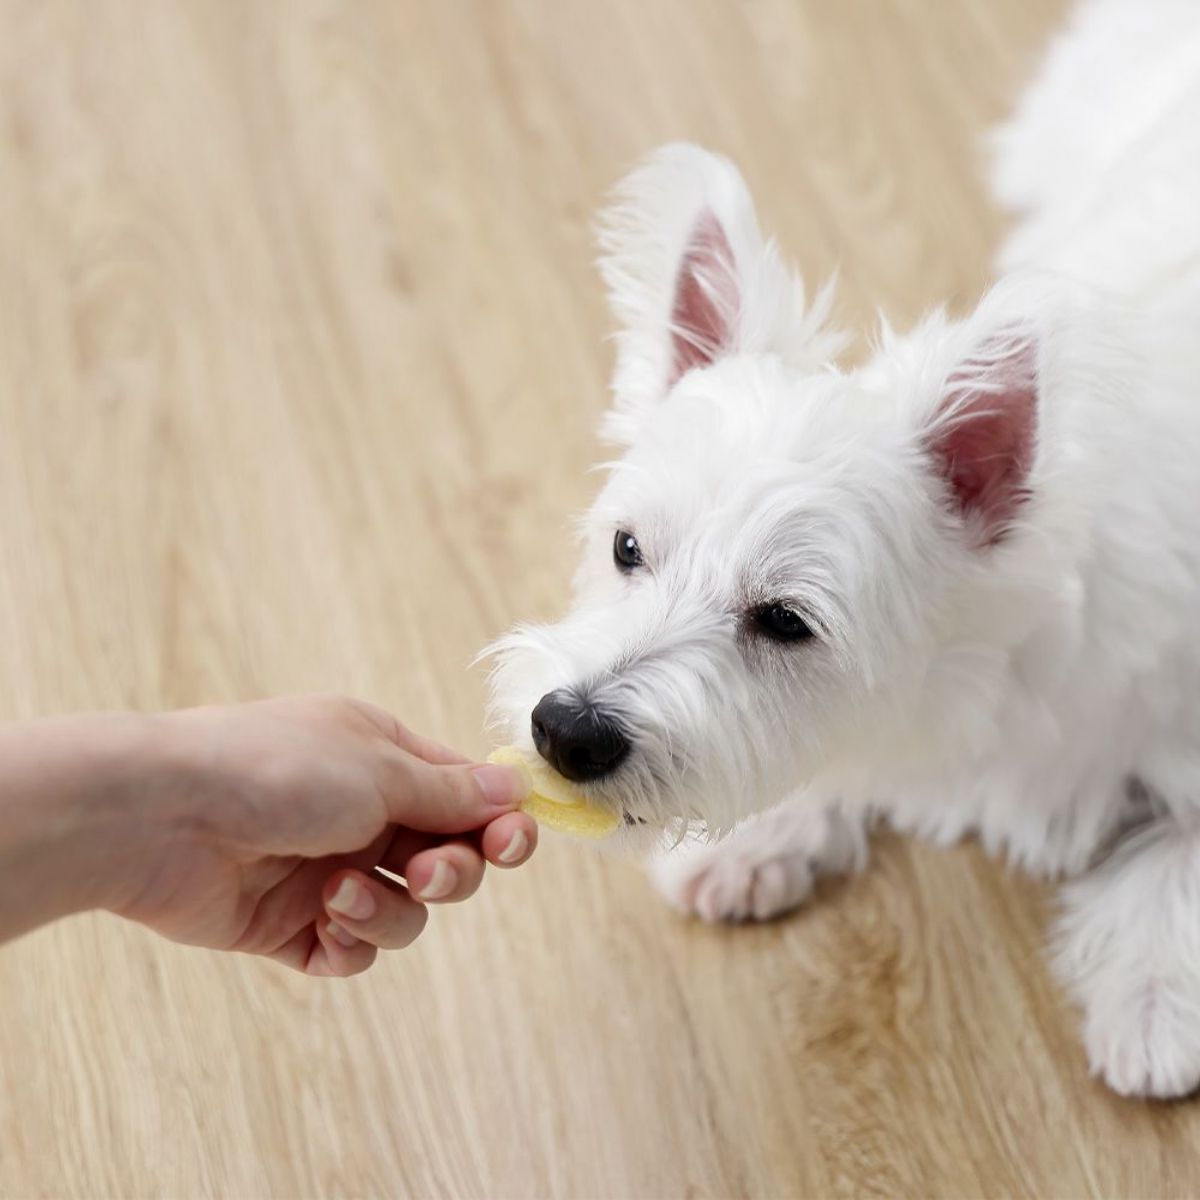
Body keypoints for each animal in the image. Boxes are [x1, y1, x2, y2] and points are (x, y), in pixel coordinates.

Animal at [484, 0, 1200, 1099]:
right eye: (627, 547)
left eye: (786, 621)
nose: (569, 729)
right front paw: (759, 838)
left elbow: (1177, 863)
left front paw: (1155, 999)